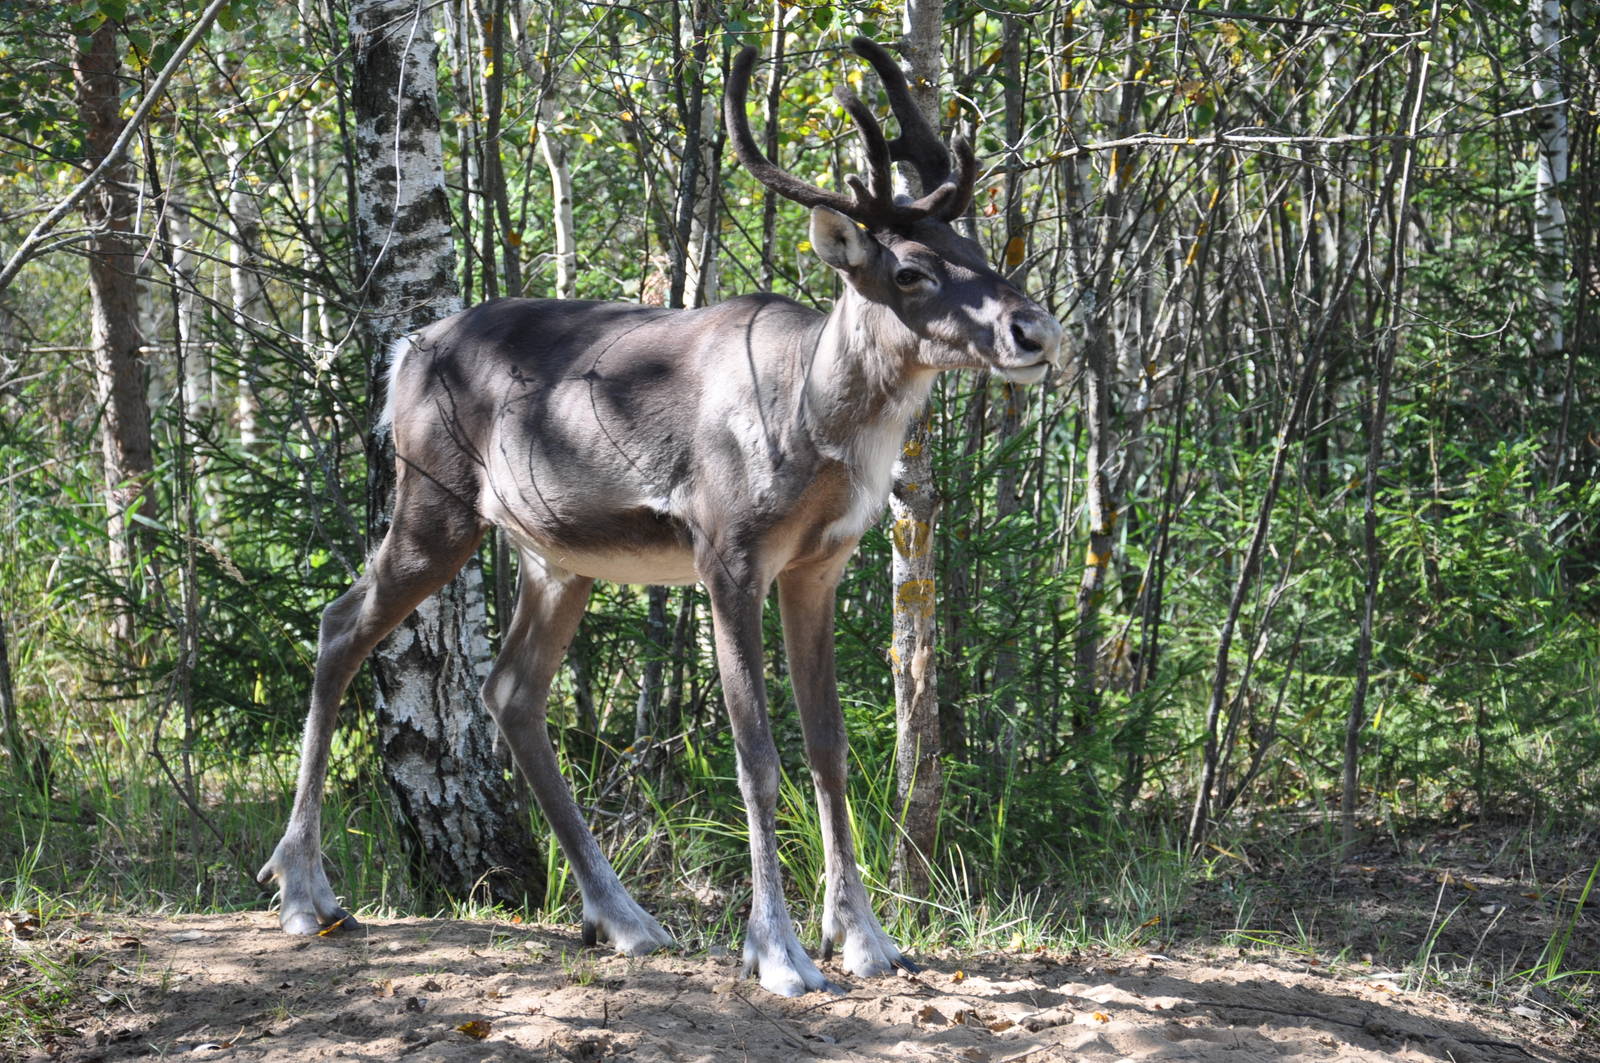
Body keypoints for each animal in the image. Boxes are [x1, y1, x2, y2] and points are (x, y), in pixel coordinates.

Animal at [255, 36, 1062, 997]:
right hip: (433, 503)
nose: (1036, 331)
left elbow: (828, 749)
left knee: (511, 689)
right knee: (341, 625)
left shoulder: (817, 566)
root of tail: (403, 351)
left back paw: (623, 916)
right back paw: (302, 888)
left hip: (556, 557)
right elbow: (758, 757)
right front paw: (780, 951)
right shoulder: (728, 552)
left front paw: (865, 938)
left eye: (976, 245)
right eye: (909, 269)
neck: (811, 420)